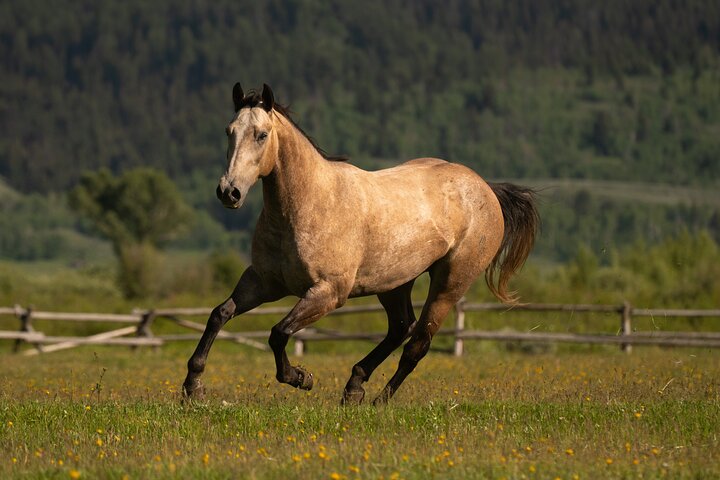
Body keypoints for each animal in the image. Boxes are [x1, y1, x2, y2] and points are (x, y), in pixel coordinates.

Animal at [182, 83, 539, 405]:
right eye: (229, 131)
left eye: (261, 135)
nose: (229, 192)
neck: (310, 203)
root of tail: (486, 189)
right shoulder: (264, 282)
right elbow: (220, 314)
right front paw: (193, 387)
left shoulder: (328, 293)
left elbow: (278, 333)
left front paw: (301, 377)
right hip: (395, 282)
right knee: (400, 327)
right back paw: (354, 387)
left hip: (450, 282)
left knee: (418, 342)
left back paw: (379, 401)